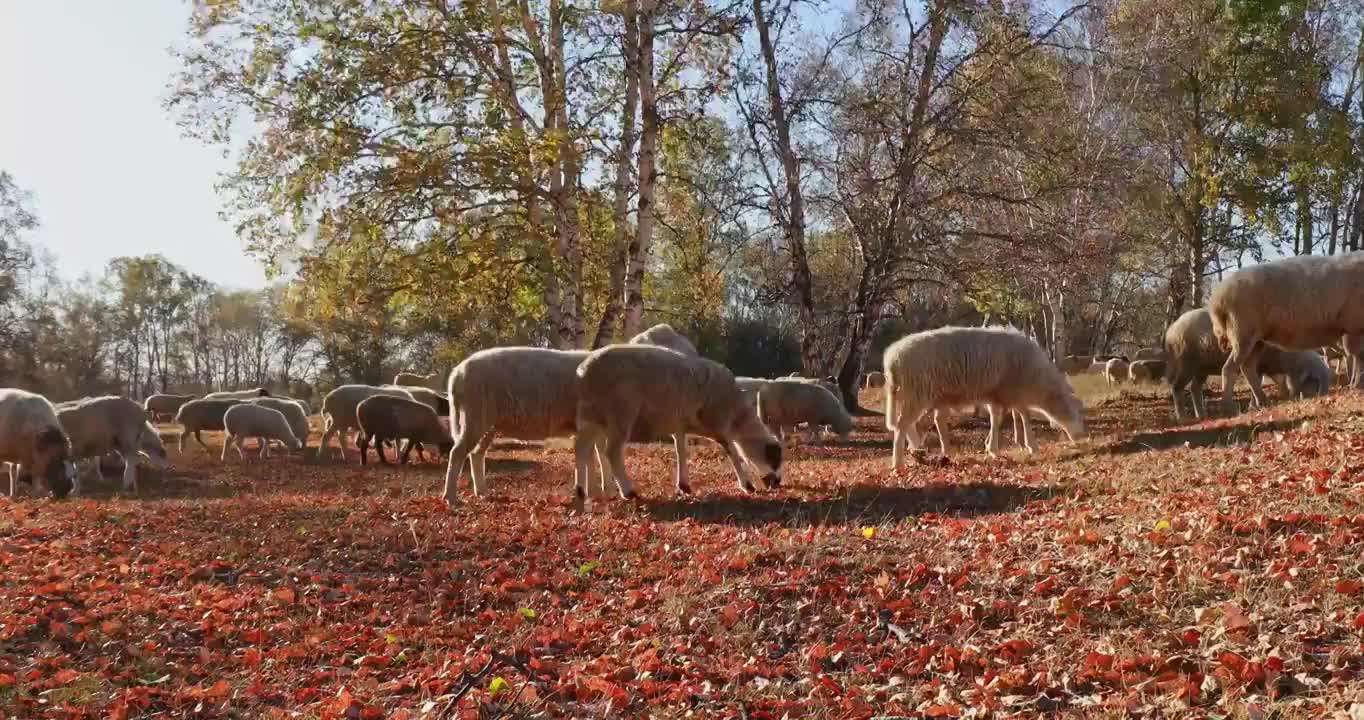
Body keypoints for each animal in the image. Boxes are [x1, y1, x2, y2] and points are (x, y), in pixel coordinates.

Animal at [444, 347, 605, 504]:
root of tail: (456, 373)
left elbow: (593, 455)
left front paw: (595, 492)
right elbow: (598, 455)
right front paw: (601, 492)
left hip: (487, 424)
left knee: (476, 453)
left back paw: (481, 492)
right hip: (474, 415)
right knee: (457, 452)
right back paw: (450, 498)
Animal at [572, 345, 785, 507]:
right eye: (775, 460)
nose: (777, 482)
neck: (737, 415)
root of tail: (585, 370)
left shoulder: (680, 424)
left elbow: (681, 450)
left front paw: (684, 485)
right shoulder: (717, 422)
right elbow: (731, 450)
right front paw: (747, 485)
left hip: (591, 415)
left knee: (581, 447)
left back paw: (580, 491)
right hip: (621, 411)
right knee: (612, 451)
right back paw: (628, 491)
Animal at [883, 325, 1085, 466]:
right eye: (1078, 412)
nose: (1083, 437)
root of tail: (891, 358)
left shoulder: (997, 394)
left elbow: (1001, 418)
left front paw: (991, 445)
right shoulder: (1011, 391)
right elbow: (1022, 415)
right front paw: (1029, 445)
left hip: (914, 396)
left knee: (912, 425)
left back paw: (920, 450)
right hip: (917, 394)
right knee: (902, 426)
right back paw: (898, 463)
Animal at [1211, 253, 1364, 414]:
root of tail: (1216, 300)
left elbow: (1356, 357)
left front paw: (1355, 384)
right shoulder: (1354, 325)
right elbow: (1358, 356)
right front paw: (1357, 385)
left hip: (1256, 340)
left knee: (1247, 368)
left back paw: (1262, 401)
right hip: (1241, 333)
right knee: (1229, 369)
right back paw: (1229, 407)